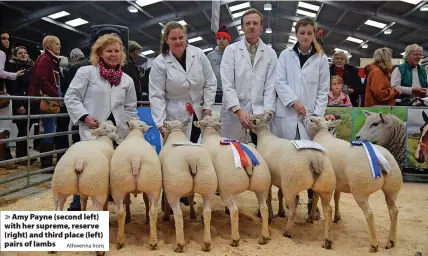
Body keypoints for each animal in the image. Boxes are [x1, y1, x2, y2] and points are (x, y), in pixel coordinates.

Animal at [109, 119, 163, 250]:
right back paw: (153, 242)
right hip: (152, 185)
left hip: (119, 187)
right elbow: (143, 201)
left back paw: (120, 242)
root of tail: (135, 158)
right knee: (152, 211)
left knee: (121, 212)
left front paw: (129, 217)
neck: (136, 134)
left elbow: (128, 201)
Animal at [162, 119, 219, 252]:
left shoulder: (166, 185)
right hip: (208, 184)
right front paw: (193, 215)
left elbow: (166, 200)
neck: (176, 134)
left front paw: (166, 216)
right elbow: (191, 197)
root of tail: (192, 160)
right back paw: (206, 244)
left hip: (174, 186)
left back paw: (179, 245)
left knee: (178, 214)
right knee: (207, 212)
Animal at [194, 115, 270, 246]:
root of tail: (248, 161)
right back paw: (264, 237)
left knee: (234, 210)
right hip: (262, 183)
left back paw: (235, 239)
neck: (211, 134)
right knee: (264, 209)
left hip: (228, 188)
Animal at [249, 113, 336, 249]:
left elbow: (269, 196)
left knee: (293, 209)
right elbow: (279, 194)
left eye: (253, 120)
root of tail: (315, 159)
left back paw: (287, 232)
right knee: (328, 210)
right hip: (326, 185)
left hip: (291, 184)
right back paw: (327, 240)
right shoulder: (279, 179)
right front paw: (280, 212)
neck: (265, 136)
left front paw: (270, 216)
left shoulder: (269, 179)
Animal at [304, 115, 402, 252]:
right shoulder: (338, 182)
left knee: (369, 214)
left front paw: (311, 217)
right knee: (394, 211)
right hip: (392, 188)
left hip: (360, 189)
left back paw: (373, 245)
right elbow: (337, 197)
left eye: (312, 120)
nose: (304, 116)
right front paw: (337, 217)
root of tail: (382, 158)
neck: (322, 134)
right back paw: (391, 241)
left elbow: (316, 198)